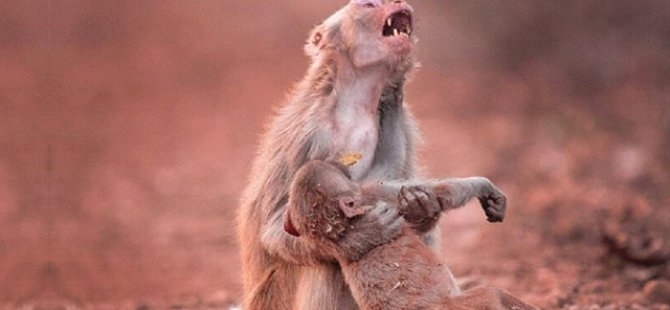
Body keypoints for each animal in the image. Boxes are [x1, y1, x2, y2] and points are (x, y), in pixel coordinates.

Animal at [236, 1, 452, 308]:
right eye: (369, 4)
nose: (398, 2)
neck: (354, 102)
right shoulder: (309, 136)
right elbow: (275, 228)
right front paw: (361, 238)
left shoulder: (402, 124)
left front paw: (421, 207)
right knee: (325, 263)